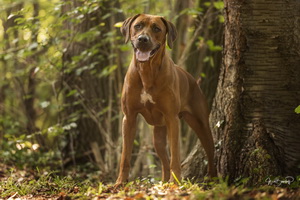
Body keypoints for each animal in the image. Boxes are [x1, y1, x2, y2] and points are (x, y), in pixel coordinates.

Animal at [116, 13, 217, 186]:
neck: (147, 71)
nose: (143, 39)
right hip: (158, 135)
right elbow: (125, 157)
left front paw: (176, 182)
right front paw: (120, 182)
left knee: (210, 152)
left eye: (157, 28)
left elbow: (175, 156)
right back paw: (163, 183)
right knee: (164, 160)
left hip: (201, 124)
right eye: (137, 26)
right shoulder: (128, 118)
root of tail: (193, 80)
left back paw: (213, 179)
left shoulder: (172, 118)